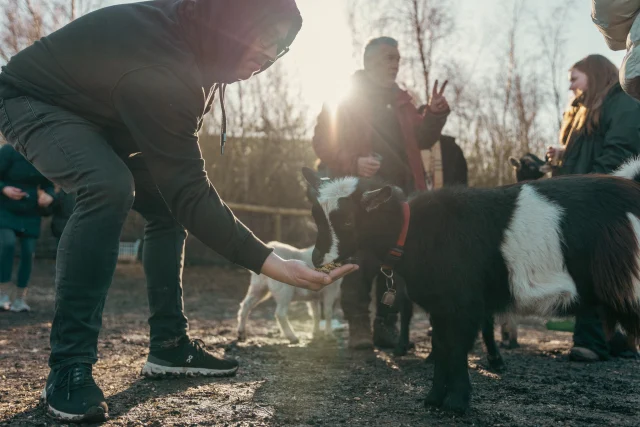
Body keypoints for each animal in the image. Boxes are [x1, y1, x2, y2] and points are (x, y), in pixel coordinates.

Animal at [302, 160, 640, 414]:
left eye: (348, 221)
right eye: (315, 215)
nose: (317, 258)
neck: (414, 231)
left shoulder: (463, 304)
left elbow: (456, 348)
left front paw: (456, 403)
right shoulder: (442, 305)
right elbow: (441, 346)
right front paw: (434, 399)